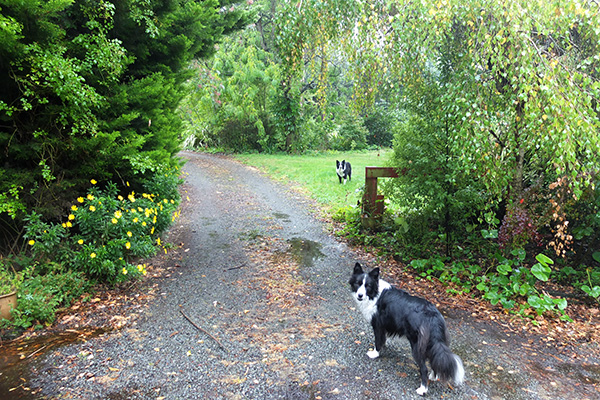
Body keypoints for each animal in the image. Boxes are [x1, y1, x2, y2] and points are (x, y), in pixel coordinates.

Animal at [346, 260, 464, 396]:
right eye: (358, 283)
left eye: (368, 286)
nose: (360, 295)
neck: (375, 294)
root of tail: (432, 316)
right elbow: (382, 340)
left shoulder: (378, 326)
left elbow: (378, 341)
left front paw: (375, 353)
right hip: (431, 342)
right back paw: (433, 376)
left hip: (416, 345)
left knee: (423, 368)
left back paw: (423, 389)